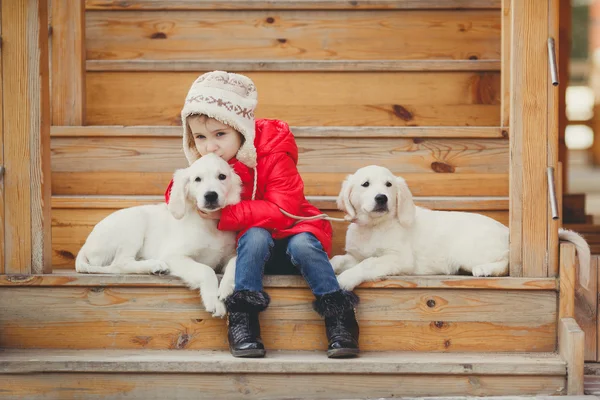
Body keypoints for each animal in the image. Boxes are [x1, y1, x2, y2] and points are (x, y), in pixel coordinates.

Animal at [75, 154, 241, 318]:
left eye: (222, 176)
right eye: (197, 179)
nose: (211, 196)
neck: (210, 225)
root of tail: (86, 244)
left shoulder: (229, 254)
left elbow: (235, 260)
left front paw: (226, 289)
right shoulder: (174, 256)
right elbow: (206, 270)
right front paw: (214, 301)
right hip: (134, 223)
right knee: (119, 263)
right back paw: (154, 265)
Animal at [332, 165, 592, 290]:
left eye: (388, 185)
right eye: (365, 184)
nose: (382, 198)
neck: (374, 227)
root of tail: (507, 231)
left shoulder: (398, 258)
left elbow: (368, 264)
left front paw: (345, 279)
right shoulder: (355, 255)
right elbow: (340, 259)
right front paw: (334, 267)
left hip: (469, 251)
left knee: (506, 261)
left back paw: (486, 269)